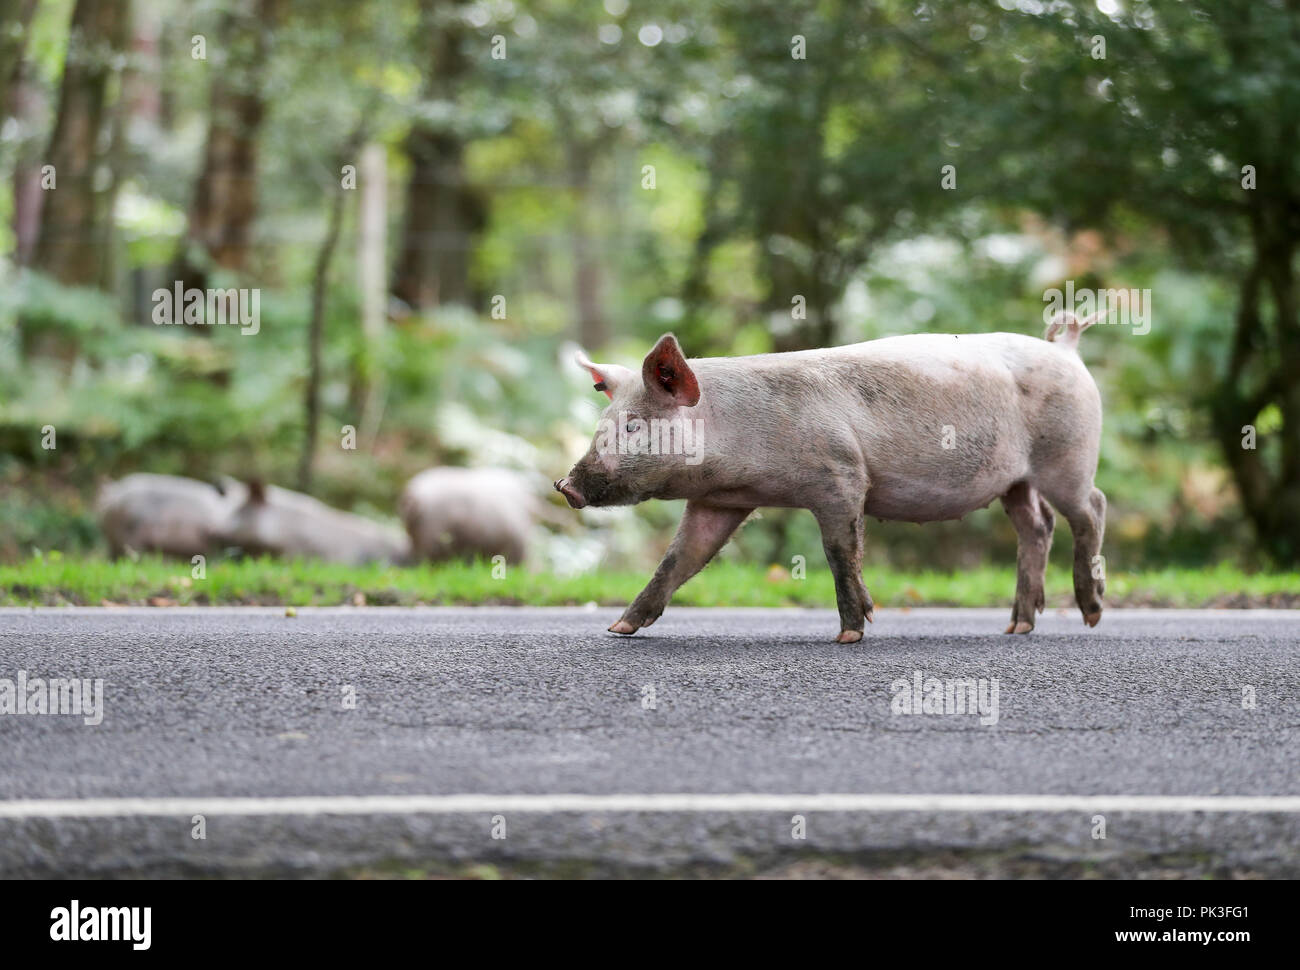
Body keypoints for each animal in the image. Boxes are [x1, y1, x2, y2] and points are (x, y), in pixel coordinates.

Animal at [553, 313, 1112, 639]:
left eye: (633, 425)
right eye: (603, 424)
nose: (566, 486)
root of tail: (1066, 350)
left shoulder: (842, 477)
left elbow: (841, 552)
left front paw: (850, 633)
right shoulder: (721, 501)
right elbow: (681, 560)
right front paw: (618, 628)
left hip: (1068, 455)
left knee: (1092, 507)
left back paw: (1089, 612)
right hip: (1014, 480)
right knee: (1037, 525)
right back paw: (1018, 627)